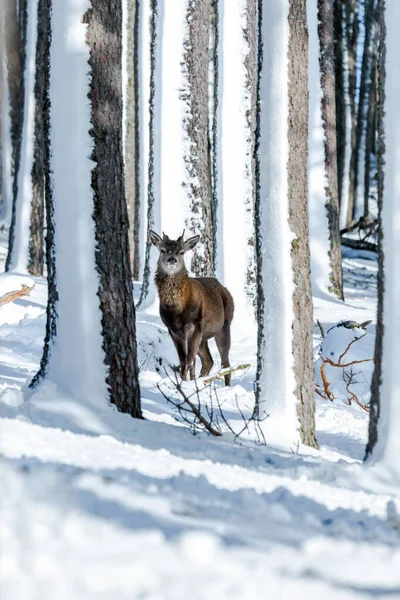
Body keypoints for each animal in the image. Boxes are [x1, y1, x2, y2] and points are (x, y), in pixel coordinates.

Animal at [150, 227, 233, 386]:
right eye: (163, 250)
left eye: (181, 252)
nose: (172, 259)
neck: (177, 310)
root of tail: (224, 289)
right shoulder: (173, 329)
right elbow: (183, 360)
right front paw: (184, 382)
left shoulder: (195, 326)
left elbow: (190, 360)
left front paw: (189, 383)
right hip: (204, 336)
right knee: (209, 361)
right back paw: (202, 381)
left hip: (224, 325)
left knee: (225, 363)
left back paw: (225, 386)